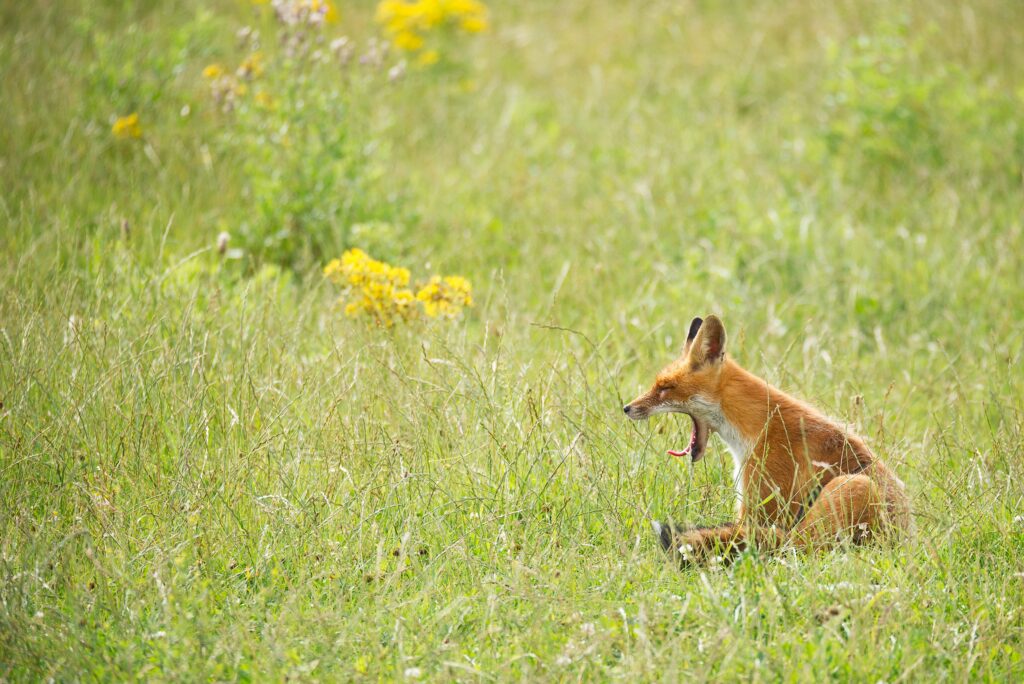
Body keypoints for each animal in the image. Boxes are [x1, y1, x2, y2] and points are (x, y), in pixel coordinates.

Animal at [622, 313, 913, 565]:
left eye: (665, 387)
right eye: (657, 384)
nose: (626, 408)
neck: (756, 426)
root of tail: (902, 541)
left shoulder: (761, 501)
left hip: (850, 491)